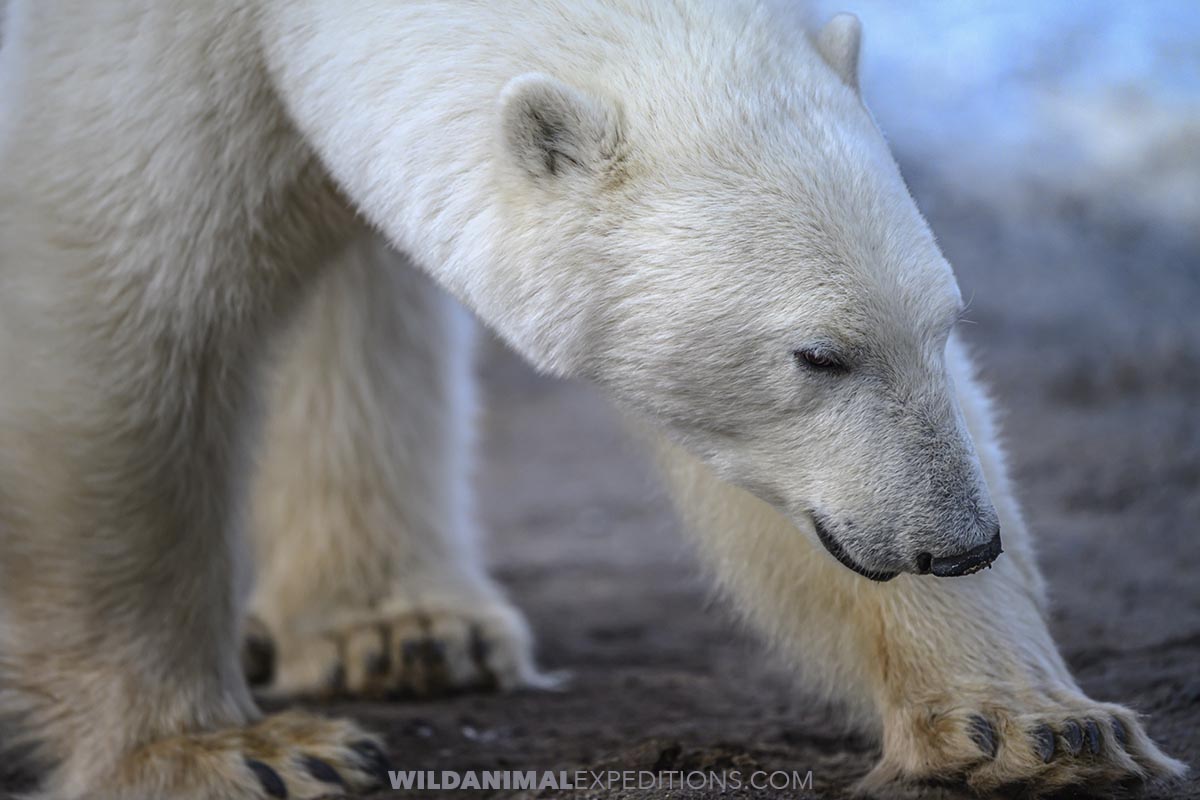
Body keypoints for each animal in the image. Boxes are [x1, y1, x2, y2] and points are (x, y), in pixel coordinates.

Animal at [0, 0, 1185, 798]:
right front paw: (225, 751)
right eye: (818, 355)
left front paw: (1041, 728)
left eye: (945, 323)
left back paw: (404, 626)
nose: (959, 542)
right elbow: (118, 310)